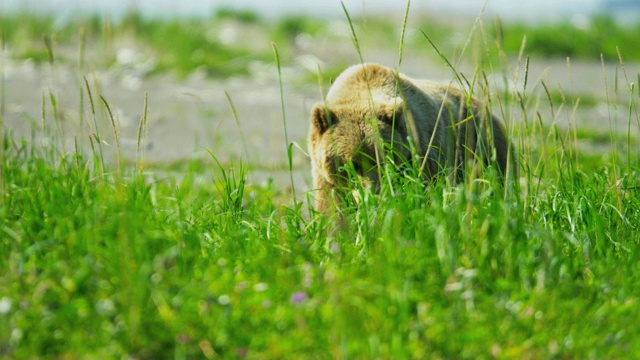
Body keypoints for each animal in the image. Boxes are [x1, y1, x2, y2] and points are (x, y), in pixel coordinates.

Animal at [308, 63, 516, 212]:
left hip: (485, 153)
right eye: (352, 164)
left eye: (383, 160)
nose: (373, 195)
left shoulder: (421, 151)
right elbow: (333, 211)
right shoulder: (326, 178)